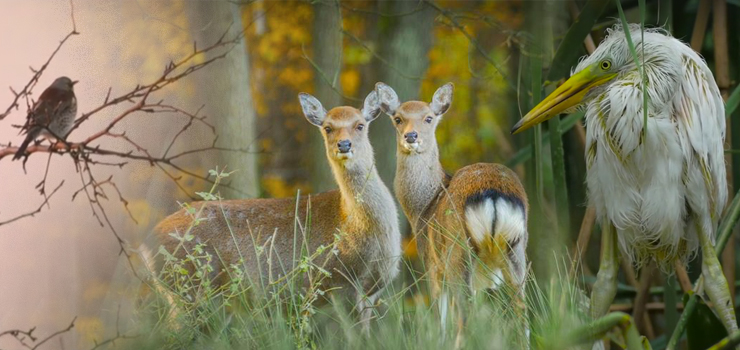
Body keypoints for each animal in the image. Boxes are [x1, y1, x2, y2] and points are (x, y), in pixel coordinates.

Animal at [148, 89, 402, 330]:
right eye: (328, 127)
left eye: (360, 125)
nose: (344, 144)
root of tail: (147, 243)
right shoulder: (340, 283)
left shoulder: (370, 293)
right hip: (190, 288)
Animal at [376, 82, 532, 344]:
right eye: (398, 118)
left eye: (429, 118)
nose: (411, 136)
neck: (423, 208)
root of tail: (493, 194)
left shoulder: (432, 264)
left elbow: (440, 323)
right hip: (516, 249)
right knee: (522, 312)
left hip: (458, 252)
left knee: (464, 319)